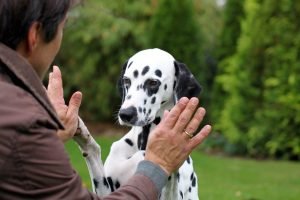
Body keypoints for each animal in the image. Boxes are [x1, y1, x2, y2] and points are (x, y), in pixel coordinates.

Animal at [73, 48, 202, 198]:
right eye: (126, 80)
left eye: (153, 82)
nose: (125, 114)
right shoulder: (105, 191)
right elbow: (94, 152)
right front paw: (83, 134)